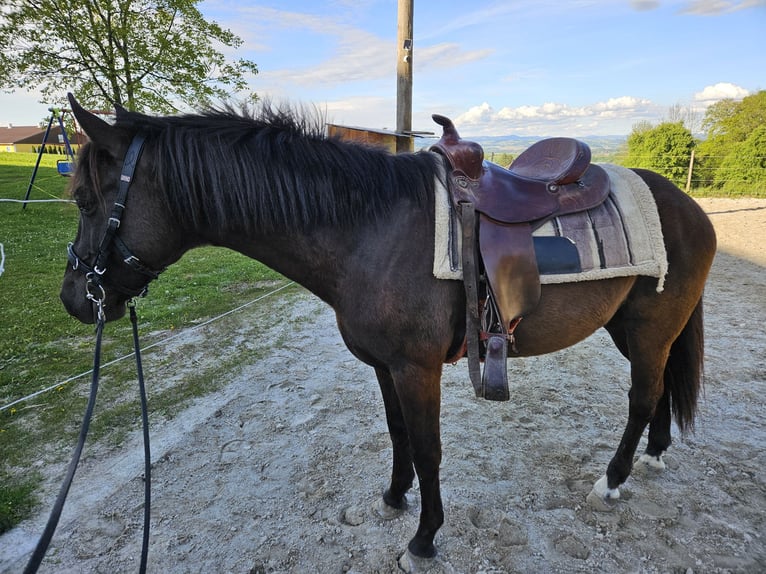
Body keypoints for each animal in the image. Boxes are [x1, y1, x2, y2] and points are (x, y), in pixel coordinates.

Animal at [61, 94, 720, 572]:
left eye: (88, 200)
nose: (74, 299)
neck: (369, 227)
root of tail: (686, 204)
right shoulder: (384, 366)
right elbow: (399, 433)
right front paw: (394, 497)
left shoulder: (415, 368)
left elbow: (428, 447)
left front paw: (425, 538)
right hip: (632, 329)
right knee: (662, 388)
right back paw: (655, 455)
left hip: (649, 328)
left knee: (642, 397)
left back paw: (612, 481)